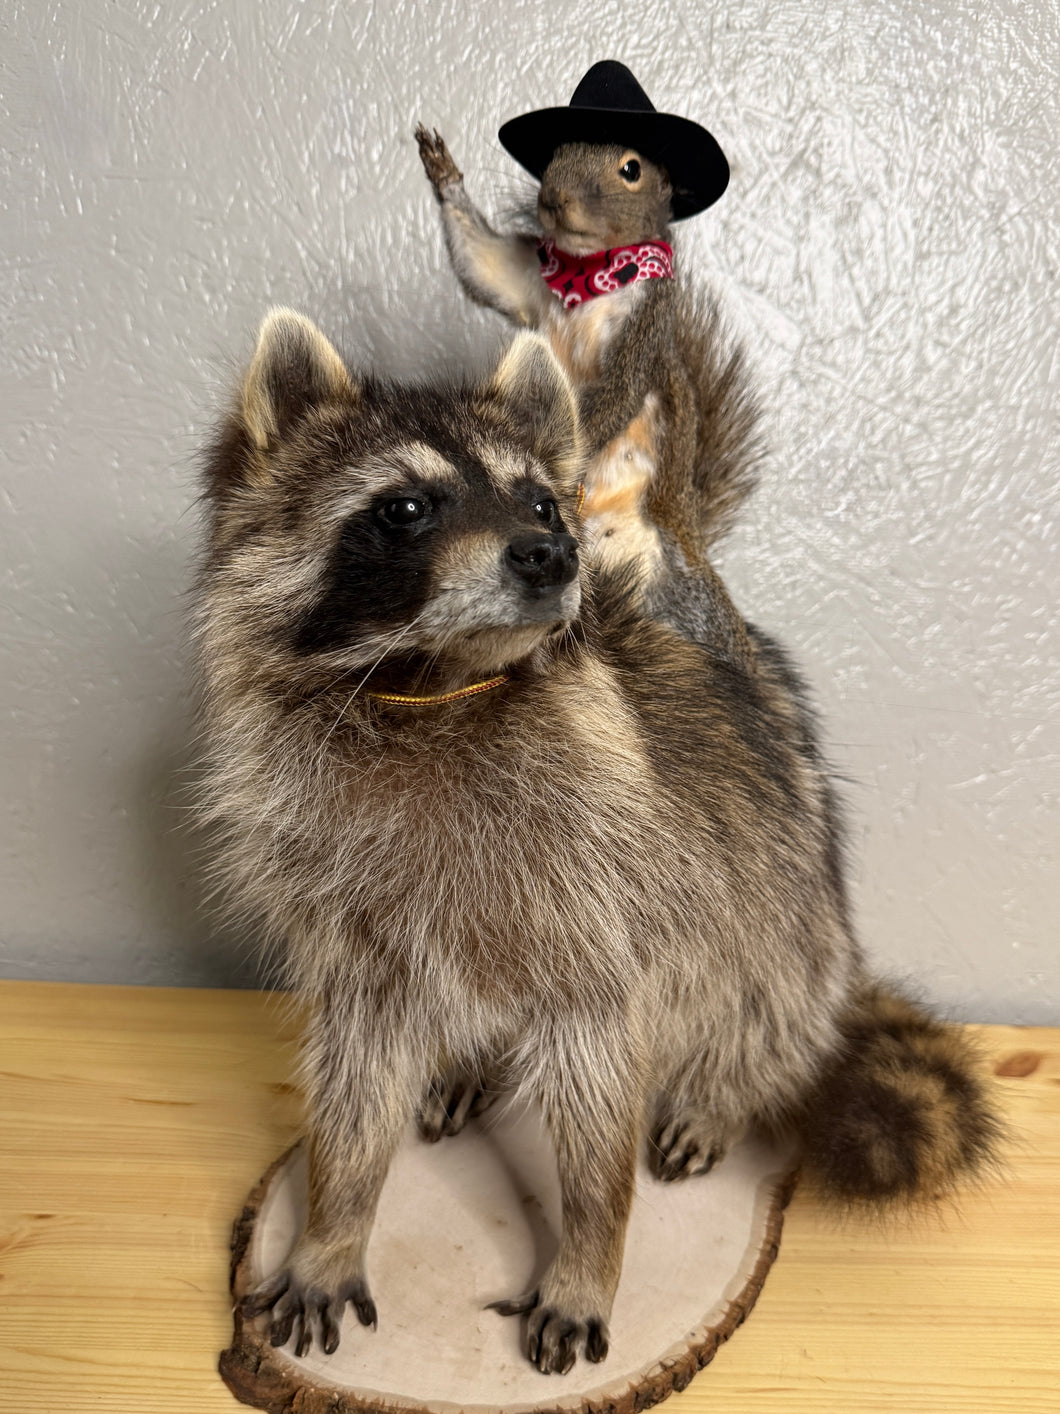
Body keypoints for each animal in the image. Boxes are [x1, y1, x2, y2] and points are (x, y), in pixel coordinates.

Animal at [196, 310, 999, 1375]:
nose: (550, 552)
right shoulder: (346, 905)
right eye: (405, 507)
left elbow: (601, 1075)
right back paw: (471, 1062)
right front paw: (335, 1218)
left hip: (788, 874)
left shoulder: (606, 882)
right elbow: (356, 1072)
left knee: (766, 986)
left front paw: (588, 1253)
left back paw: (727, 1085)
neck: (432, 682)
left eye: (542, 499)